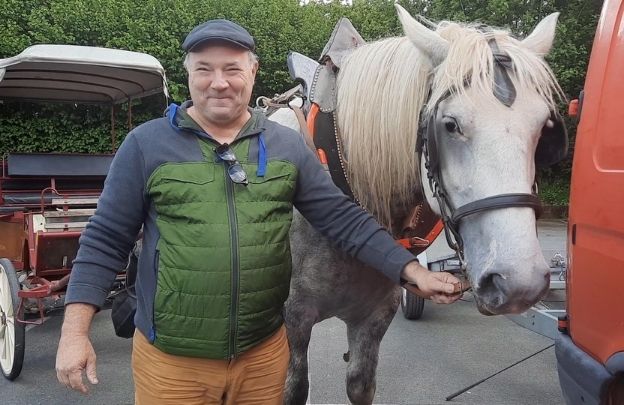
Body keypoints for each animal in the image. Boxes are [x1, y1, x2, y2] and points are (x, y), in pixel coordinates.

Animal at [268, 4, 564, 402]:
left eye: (543, 126)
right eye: (450, 124)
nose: (519, 282)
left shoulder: (374, 317)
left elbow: (359, 384)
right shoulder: (291, 322)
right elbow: (292, 388)